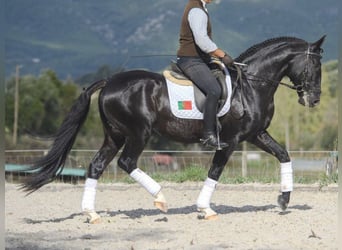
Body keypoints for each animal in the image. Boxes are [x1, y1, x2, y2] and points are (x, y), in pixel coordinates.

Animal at [22, 35, 326, 223]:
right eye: (315, 65)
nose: (313, 99)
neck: (251, 85)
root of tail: (109, 81)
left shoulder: (255, 135)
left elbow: (284, 155)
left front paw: (284, 200)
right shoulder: (230, 141)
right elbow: (215, 171)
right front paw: (205, 209)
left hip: (114, 135)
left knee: (96, 166)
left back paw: (92, 214)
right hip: (138, 133)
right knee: (126, 162)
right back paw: (160, 199)